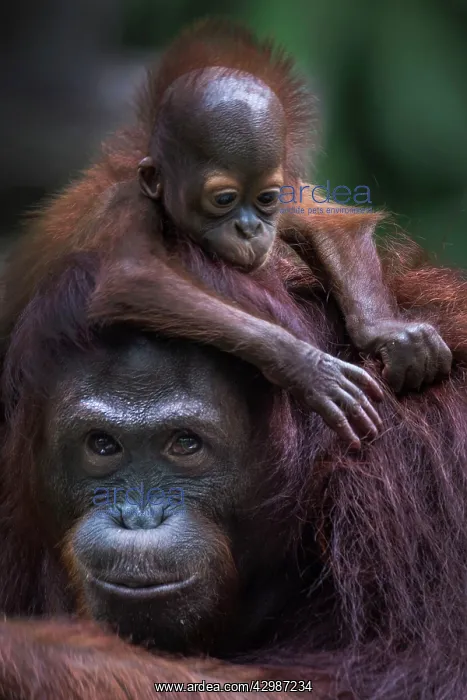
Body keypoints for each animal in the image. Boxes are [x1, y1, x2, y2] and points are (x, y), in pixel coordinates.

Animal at [3, 19, 451, 450]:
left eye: (266, 198)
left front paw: (389, 333)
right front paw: (306, 366)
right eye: (224, 199)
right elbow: (132, 275)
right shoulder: (126, 205)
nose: (249, 228)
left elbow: (329, 225)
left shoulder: (285, 187)